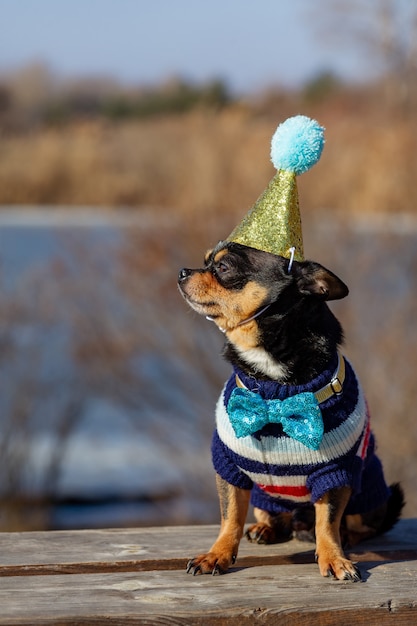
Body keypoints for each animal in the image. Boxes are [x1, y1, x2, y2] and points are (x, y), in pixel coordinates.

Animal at [176, 240, 404, 580]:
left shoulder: (335, 471)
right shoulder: (230, 466)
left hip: (369, 493)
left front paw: (334, 558)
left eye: (223, 267)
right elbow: (230, 516)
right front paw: (217, 555)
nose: (182, 271)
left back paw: (344, 536)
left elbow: (328, 521)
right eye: (205, 262)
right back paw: (267, 529)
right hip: (264, 497)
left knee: (357, 525)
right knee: (277, 518)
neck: (274, 384)